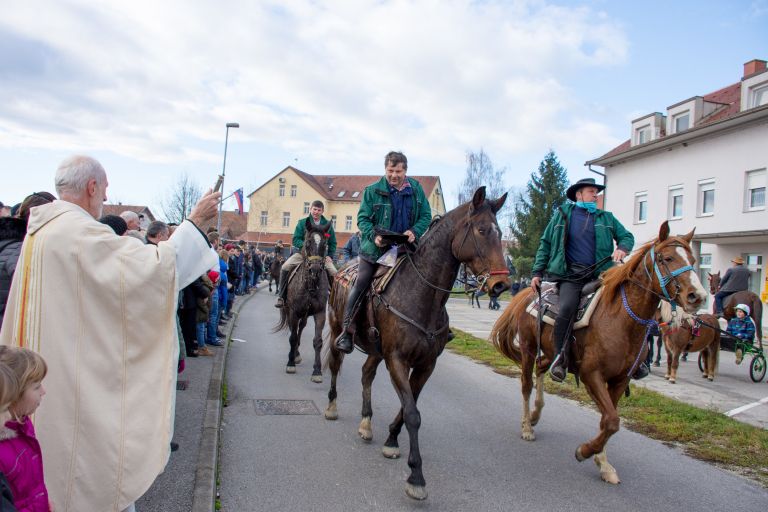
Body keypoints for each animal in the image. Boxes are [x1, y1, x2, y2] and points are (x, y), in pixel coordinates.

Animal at [274, 218, 332, 382]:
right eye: (307, 242)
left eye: (324, 244)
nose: (315, 270)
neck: (310, 283)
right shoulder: (293, 312)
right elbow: (292, 337)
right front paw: (290, 364)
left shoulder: (320, 313)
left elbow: (317, 341)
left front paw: (317, 371)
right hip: (290, 311)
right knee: (294, 331)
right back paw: (294, 355)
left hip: (305, 315)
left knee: (301, 328)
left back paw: (296, 353)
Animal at [320, 187, 508, 500]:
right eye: (482, 230)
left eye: (501, 232)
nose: (501, 285)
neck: (422, 296)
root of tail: (343, 270)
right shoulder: (397, 359)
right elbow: (412, 413)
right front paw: (416, 476)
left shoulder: (425, 364)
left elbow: (410, 405)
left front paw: (391, 439)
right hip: (338, 331)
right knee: (335, 365)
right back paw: (332, 407)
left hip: (376, 350)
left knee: (366, 374)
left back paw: (367, 422)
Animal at [492, 223, 708, 484]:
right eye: (667, 258)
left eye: (694, 260)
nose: (697, 296)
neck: (621, 320)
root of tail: (530, 291)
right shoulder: (591, 375)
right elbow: (612, 421)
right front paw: (585, 451)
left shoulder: (620, 380)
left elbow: (608, 421)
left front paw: (603, 464)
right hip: (528, 347)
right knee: (526, 384)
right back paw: (527, 427)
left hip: (552, 352)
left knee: (543, 367)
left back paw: (535, 414)